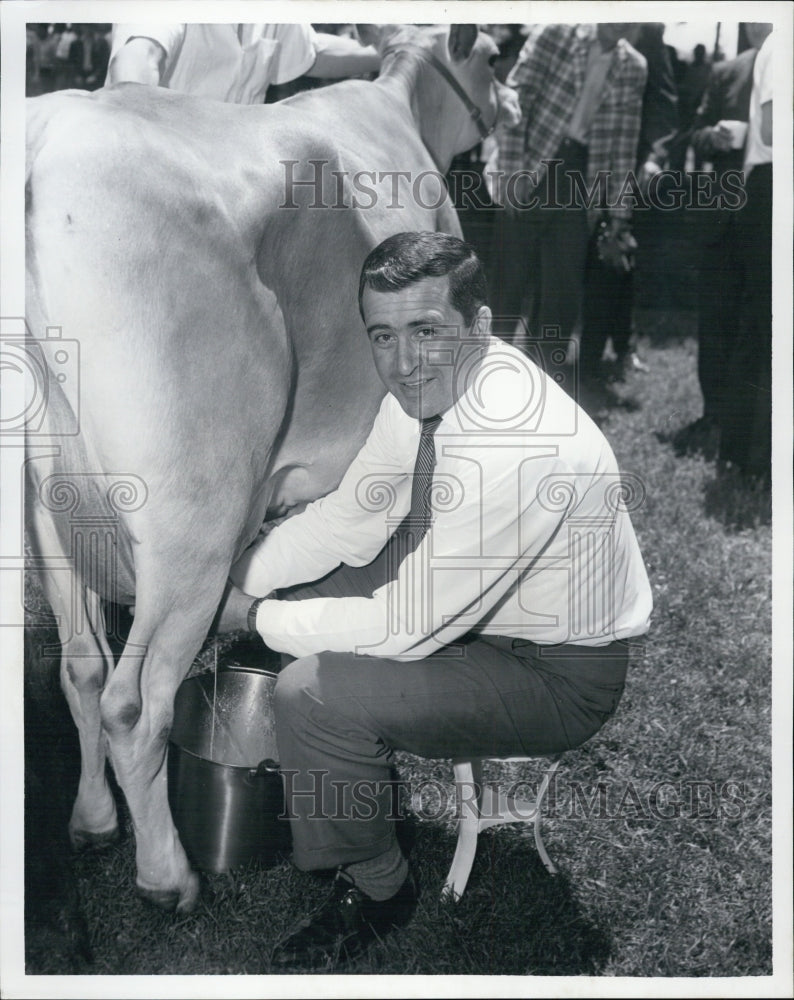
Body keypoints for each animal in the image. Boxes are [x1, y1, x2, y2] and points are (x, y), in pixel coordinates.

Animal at [23, 23, 520, 916]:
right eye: (496, 57)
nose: (513, 109)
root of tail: (45, 140)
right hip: (193, 516)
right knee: (133, 703)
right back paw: (169, 877)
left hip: (46, 503)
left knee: (82, 667)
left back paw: (93, 821)